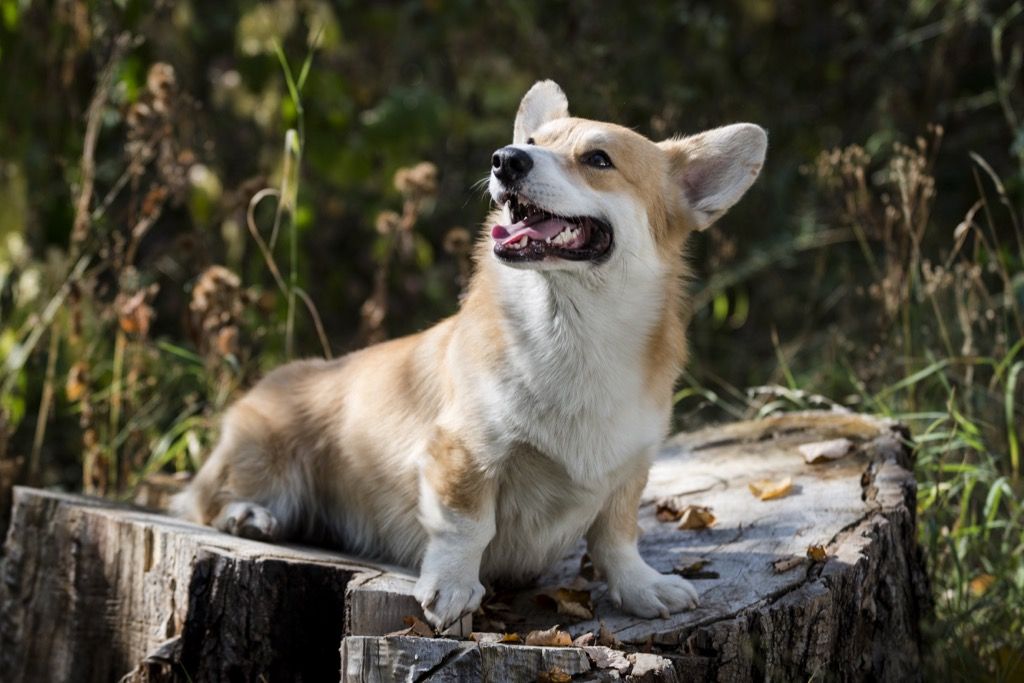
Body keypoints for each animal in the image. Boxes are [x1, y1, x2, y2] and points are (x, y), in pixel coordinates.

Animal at [174, 80, 770, 630]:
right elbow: (467, 526)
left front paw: (642, 587)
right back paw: (247, 514)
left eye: (598, 159)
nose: (505, 159)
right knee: (202, 498)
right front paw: (454, 588)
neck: (572, 331)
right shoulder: (463, 452)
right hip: (265, 456)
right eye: (531, 143)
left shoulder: (629, 470)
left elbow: (616, 537)